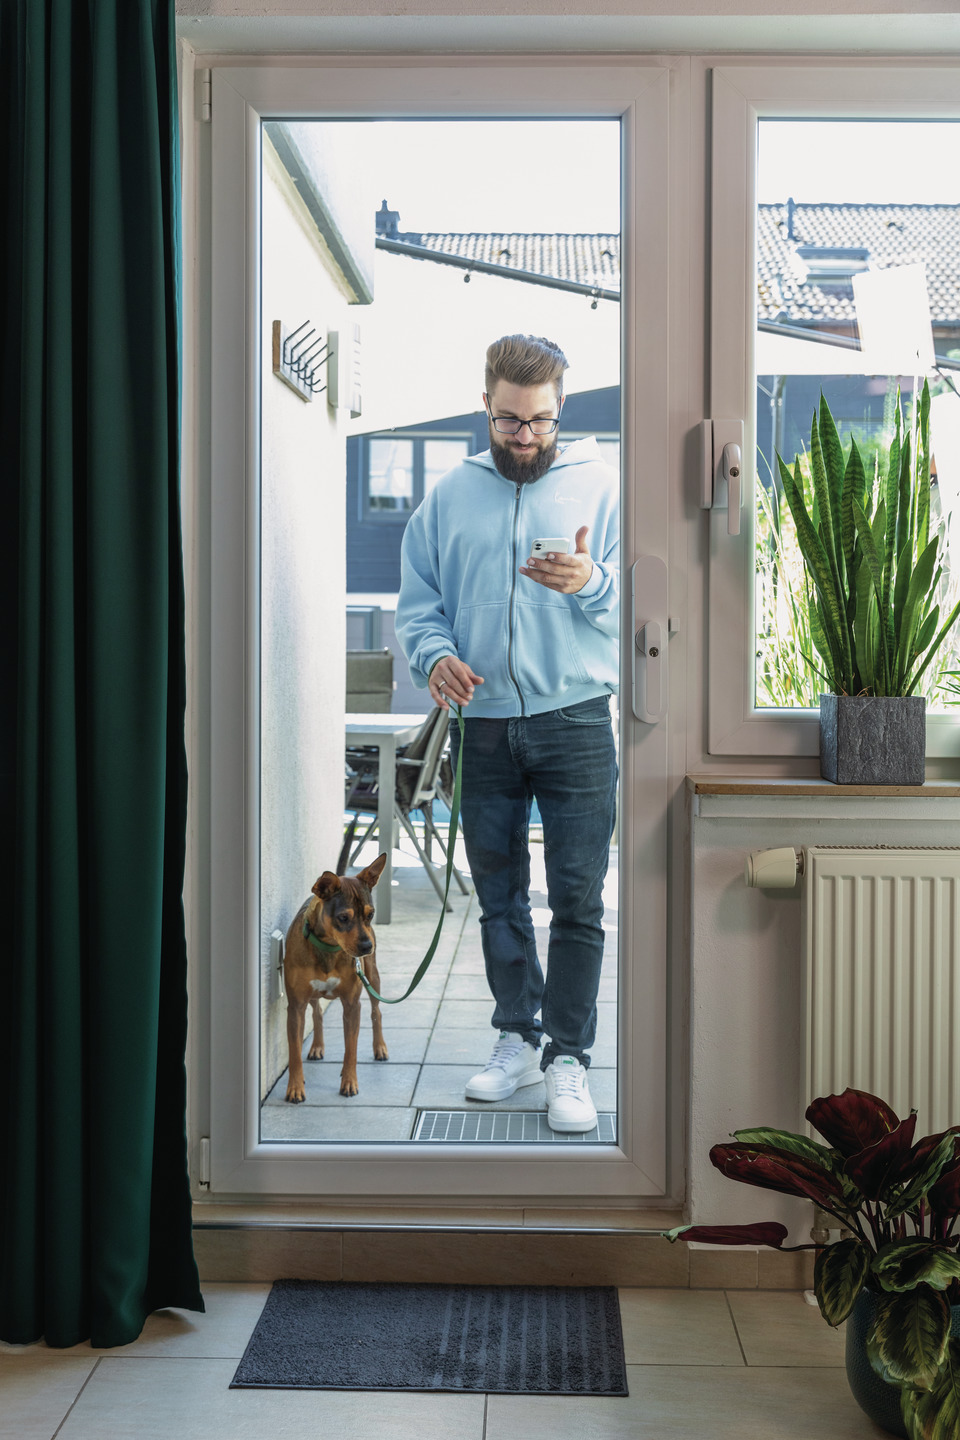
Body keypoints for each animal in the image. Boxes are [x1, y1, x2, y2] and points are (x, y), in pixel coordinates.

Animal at [283, 852, 388, 1100]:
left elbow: (351, 1049)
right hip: (312, 995)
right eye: (343, 917)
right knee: (317, 1012)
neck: (329, 949)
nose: (367, 946)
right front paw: (295, 1087)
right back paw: (317, 1047)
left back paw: (379, 1047)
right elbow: (294, 1052)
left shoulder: (352, 1004)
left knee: (376, 1011)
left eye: (371, 914)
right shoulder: (295, 1006)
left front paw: (349, 1082)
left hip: (372, 977)